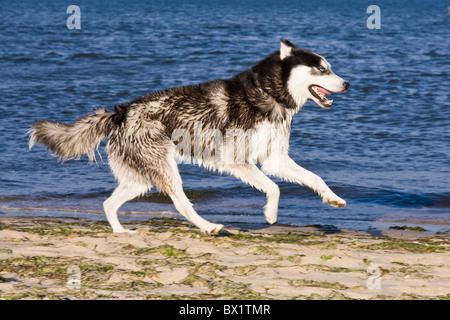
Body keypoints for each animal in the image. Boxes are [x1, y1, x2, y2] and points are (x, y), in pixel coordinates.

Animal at [29, 40, 350, 235]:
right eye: (322, 69)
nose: (347, 83)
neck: (269, 94)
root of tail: (121, 112)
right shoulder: (236, 161)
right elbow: (274, 188)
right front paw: (271, 214)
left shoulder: (275, 159)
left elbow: (314, 177)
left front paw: (332, 198)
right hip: (164, 168)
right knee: (182, 203)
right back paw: (207, 226)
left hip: (141, 179)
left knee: (109, 203)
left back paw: (120, 232)